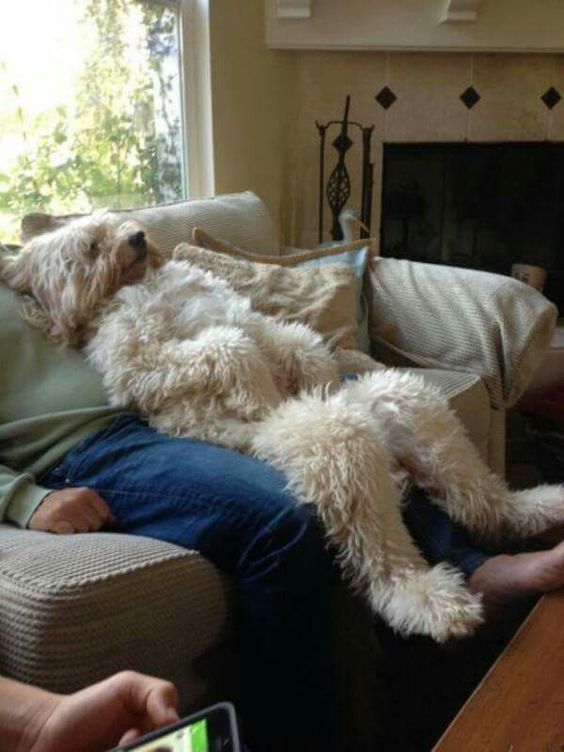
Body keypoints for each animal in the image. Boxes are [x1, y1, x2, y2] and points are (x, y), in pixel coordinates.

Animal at [4, 212, 564, 640]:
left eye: (114, 225)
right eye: (91, 246)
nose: (138, 236)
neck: (140, 284)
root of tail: (386, 452)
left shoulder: (254, 323)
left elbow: (289, 339)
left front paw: (313, 372)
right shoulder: (137, 359)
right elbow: (227, 345)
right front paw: (255, 390)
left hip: (405, 400)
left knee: (481, 499)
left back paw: (537, 508)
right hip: (332, 443)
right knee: (383, 555)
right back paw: (428, 601)